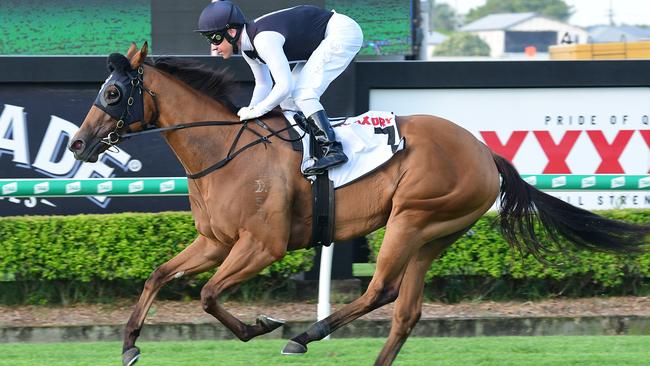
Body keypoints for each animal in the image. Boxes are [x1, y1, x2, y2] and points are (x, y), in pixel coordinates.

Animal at [68, 43, 644, 366]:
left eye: (114, 93)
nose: (77, 144)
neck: (223, 152)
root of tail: (486, 152)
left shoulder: (263, 245)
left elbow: (208, 295)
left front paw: (264, 326)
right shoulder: (215, 241)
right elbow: (159, 276)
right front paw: (129, 344)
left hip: (412, 217)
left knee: (381, 291)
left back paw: (306, 335)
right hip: (436, 234)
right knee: (407, 311)